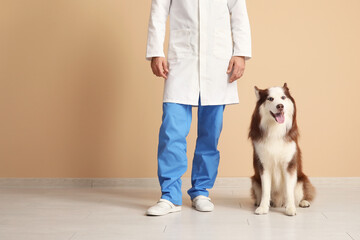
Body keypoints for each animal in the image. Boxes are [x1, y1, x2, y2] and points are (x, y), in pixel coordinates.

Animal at [248, 83, 316, 217]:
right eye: (270, 98)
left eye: (283, 97)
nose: (280, 106)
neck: (275, 129)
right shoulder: (264, 165)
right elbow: (266, 190)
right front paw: (263, 207)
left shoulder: (289, 165)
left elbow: (289, 190)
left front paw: (290, 208)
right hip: (255, 180)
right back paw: (259, 202)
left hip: (301, 180)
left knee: (301, 193)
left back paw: (303, 202)